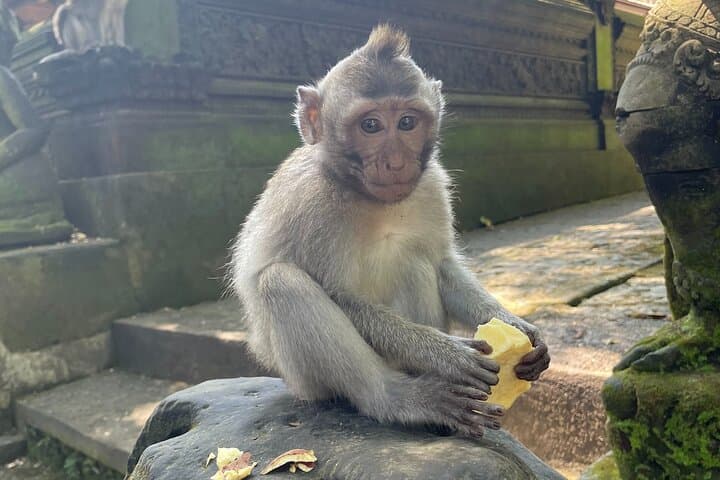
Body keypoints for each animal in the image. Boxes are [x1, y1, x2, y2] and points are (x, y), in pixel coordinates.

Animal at [230, 25, 550, 438]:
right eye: (370, 126)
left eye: (407, 123)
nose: (396, 162)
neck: (368, 199)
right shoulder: (313, 208)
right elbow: (343, 297)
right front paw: (445, 354)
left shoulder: (432, 187)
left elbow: (442, 265)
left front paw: (516, 325)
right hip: (304, 381)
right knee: (281, 281)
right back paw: (400, 398)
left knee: (414, 262)